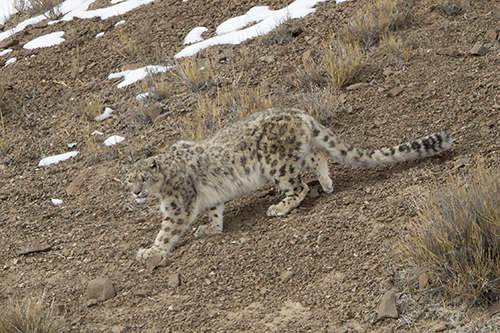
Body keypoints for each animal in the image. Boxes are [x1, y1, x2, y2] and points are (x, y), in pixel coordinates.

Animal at [125, 107, 454, 258]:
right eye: (128, 180)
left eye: (143, 177)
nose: (136, 192)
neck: (161, 188)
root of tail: (300, 113)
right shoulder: (211, 199)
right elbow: (215, 213)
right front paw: (211, 229)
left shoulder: (177, 206)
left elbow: (167, 231)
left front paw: (150, 252)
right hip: (294, 156)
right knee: (318, 155)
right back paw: (327, 182)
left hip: (276, 164)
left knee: (300, 186)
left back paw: (280, 207)